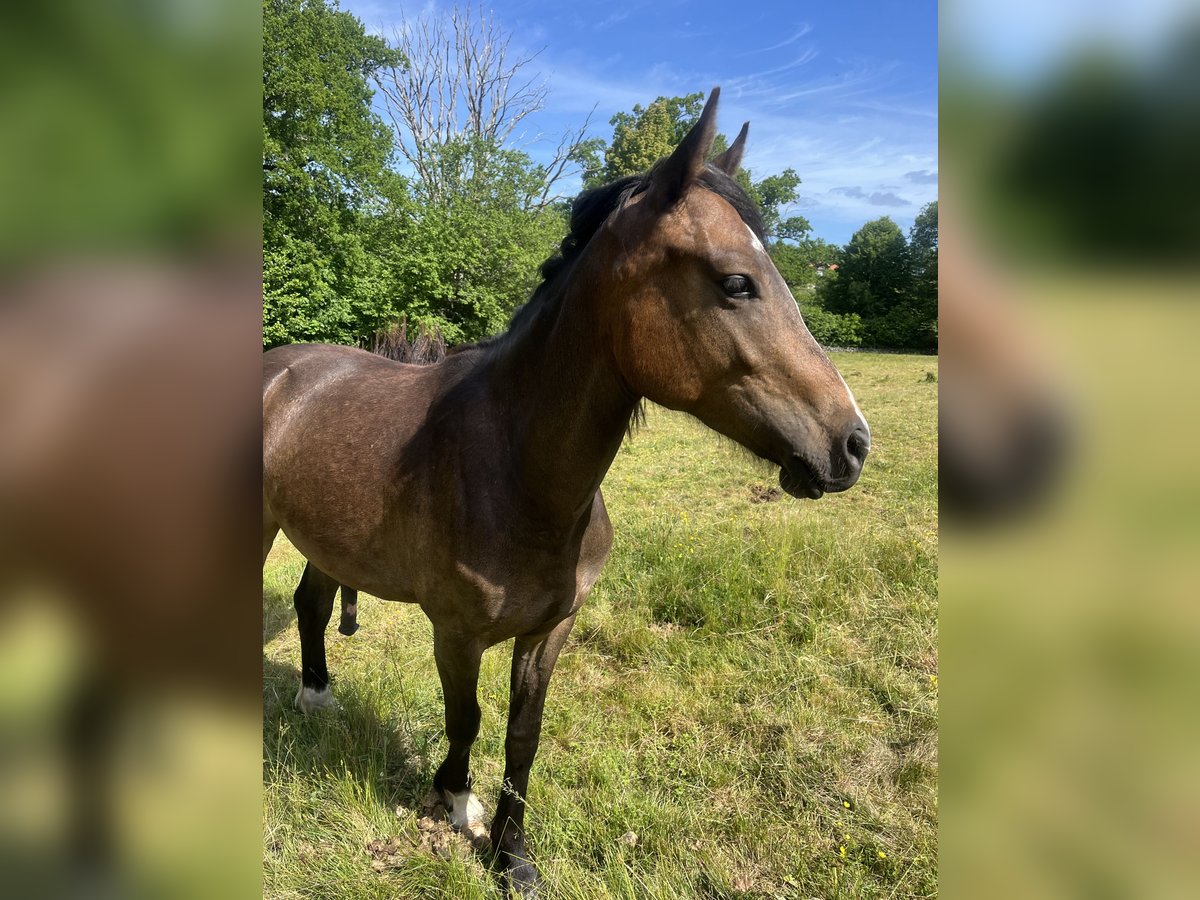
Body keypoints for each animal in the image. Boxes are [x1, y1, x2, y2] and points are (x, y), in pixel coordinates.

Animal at [262, 90, 868, 897]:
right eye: (736, 282)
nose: (852, 444)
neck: (517, 474)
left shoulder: (551, 628)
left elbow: (523, 735)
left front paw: (512, 855)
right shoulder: (455, 633)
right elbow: (467, 720)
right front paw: (455, 800)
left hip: (326, 538)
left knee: (312, 602)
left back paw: (318, 697)